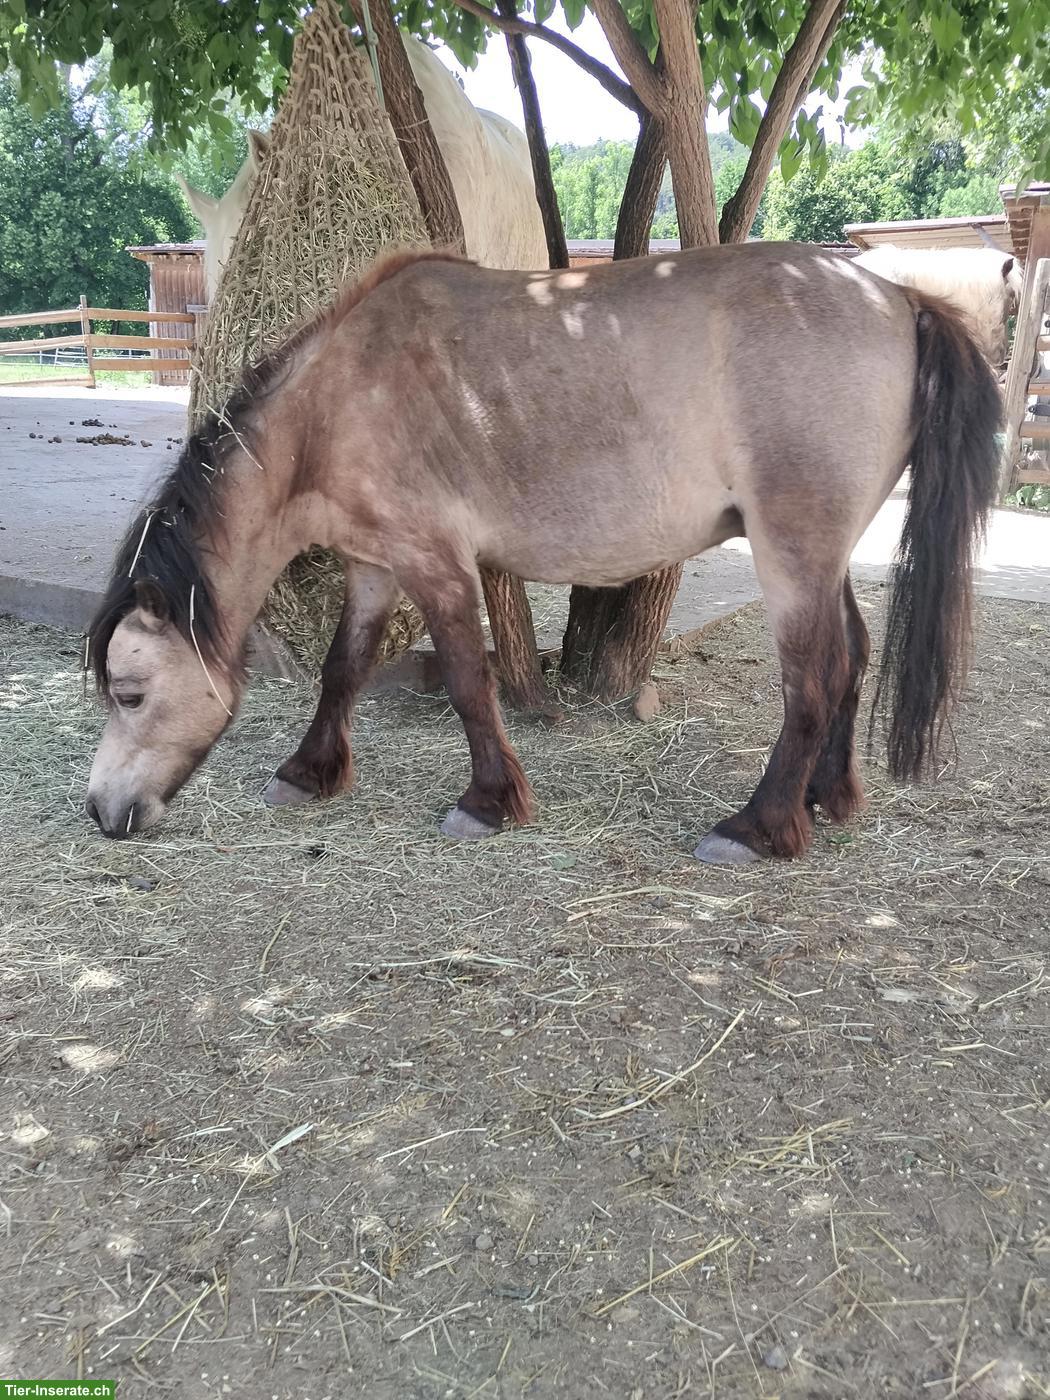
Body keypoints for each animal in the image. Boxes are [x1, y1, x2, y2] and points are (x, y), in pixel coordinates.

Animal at [84, 242, 1001, 865]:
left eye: (130, 694)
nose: (100, 812)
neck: (340, 397)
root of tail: (896, 294)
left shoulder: (436, 562)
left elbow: (466, 681)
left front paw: (489, 801)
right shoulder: (375, 565)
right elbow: (343, 670)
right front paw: (309, 772)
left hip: (791, 551)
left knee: (813, 678)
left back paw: (760, 826)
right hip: (821, 553)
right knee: (854, 656)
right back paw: (828, 795)